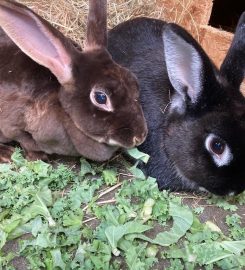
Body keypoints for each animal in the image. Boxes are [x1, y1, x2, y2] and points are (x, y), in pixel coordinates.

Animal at [0, 0, 147, 161]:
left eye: (134, 83)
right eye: (101, 98)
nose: (139, 137)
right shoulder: (13, 126)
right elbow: (24, 140)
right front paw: (37, 157)